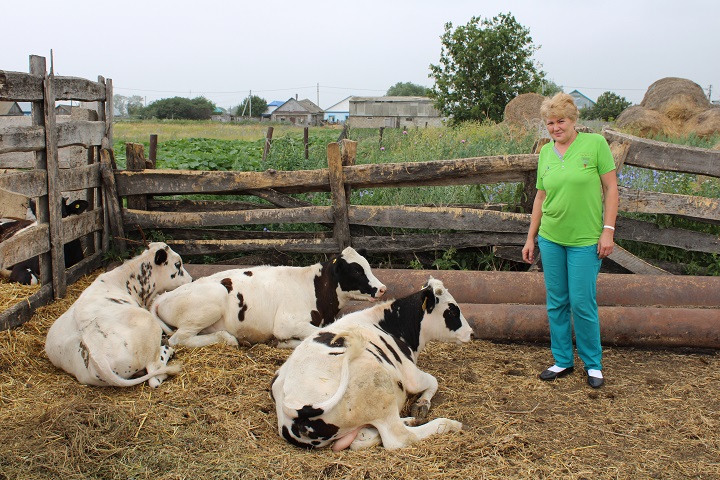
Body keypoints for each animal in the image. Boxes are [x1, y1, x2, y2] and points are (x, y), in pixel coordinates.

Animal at [44, 242, 191, 388]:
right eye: (178, 264)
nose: (190, 279)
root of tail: (96, 352)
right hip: (150, 328)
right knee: (156, 374)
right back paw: (168, 350)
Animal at [151, 248, 388, 348]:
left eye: (367, 265)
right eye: (356, 271)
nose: (382, 288)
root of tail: (162, 297)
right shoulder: (285, 323)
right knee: (178, 339)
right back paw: (228, 338)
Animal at [270, 276, 472, 452]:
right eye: (452, 311)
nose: (471, 332)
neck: (390, 325)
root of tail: (291, 403)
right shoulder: (410, 374)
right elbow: (433, 381)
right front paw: (422, 404)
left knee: (362, 438)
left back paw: (407, 421)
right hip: (379, 385)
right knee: (398, 437)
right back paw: (447, 424)